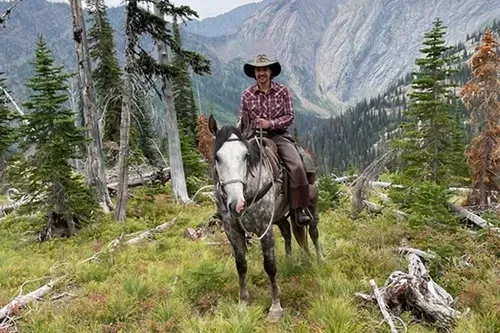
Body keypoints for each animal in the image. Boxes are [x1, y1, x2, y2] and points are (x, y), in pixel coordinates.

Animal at [208, 113, 322, 320]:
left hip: (312, 204)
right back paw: (290, 259)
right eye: (217, 157)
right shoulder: (232, 230)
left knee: (313, 232)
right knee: (288, 233)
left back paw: (320, 260)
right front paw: (243, 302)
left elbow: (269, 265)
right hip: (280, 216)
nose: (236, 204)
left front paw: (276, 307)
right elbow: (241, 264)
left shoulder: (264, 228)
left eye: (245, 155)